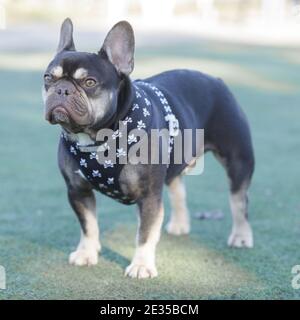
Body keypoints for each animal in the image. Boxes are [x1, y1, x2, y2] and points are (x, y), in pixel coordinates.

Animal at [42, 18, 254, 278]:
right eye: (48, 78)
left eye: (89, 82)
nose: (62, 89)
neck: (101, 138)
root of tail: (216, 80)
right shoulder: (78, 190)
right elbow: (88, 224)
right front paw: (86, 253)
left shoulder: (149, 195)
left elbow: (145, 233)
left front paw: (141, 265)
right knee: (178, 189)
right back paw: (180, 225)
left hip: (238, 160)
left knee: (239, 200)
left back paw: (241, 236)